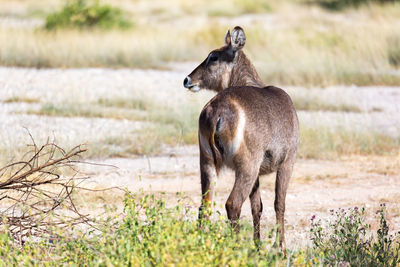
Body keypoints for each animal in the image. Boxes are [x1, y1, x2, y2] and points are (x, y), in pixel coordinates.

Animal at [183, 26, 298, 248]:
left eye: (213, 57)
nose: (187, 80)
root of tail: (216, 111)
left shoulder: (260, 173)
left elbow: (257, 207)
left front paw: (258, 246)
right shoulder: (287, 162)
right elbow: (279, 204)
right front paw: (280, 248)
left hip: (207, 161)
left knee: (205, 206)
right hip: (247, 166)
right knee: (232, 204)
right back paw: (236, 248)